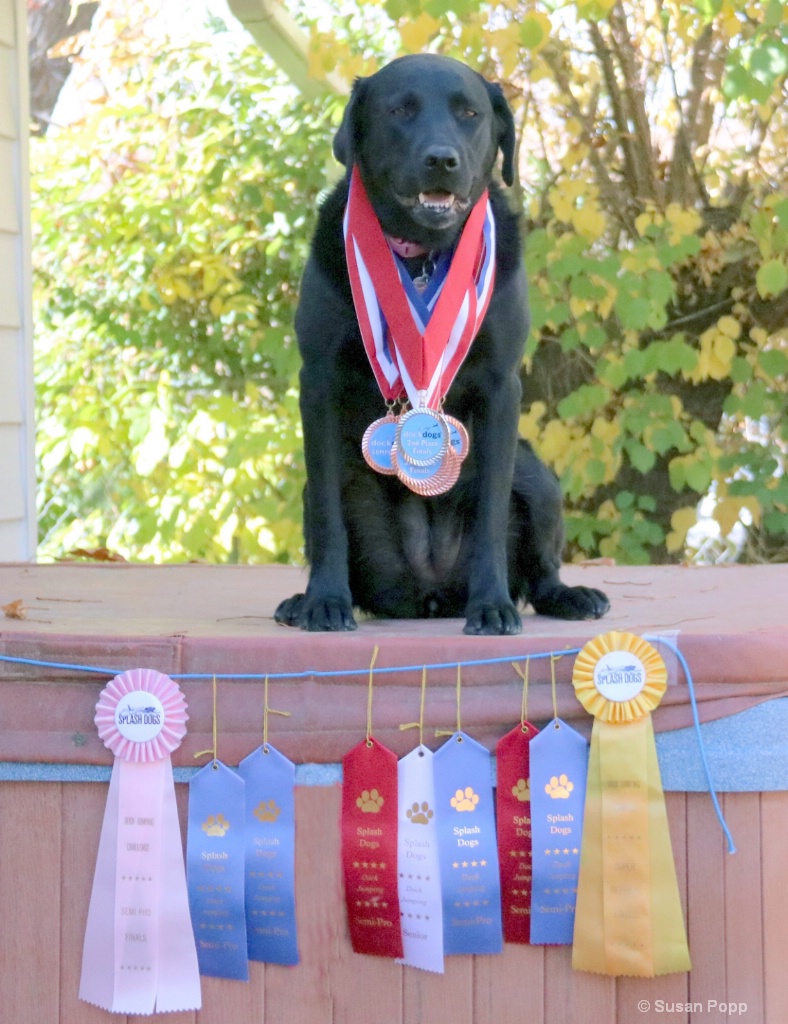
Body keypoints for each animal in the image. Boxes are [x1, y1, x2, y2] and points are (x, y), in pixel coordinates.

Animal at [274, 56, 605, 634]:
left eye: (469, 113)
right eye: (400, 110)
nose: (441, 160)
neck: (422, 258)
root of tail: (428, 593)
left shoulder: (501, 385)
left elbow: (492, 512)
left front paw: (492, 605)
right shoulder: (317, 380)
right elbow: (330, 519)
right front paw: (324, 602)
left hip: (538, 478)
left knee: (541, 572)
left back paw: (571, 596)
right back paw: (302, 602)